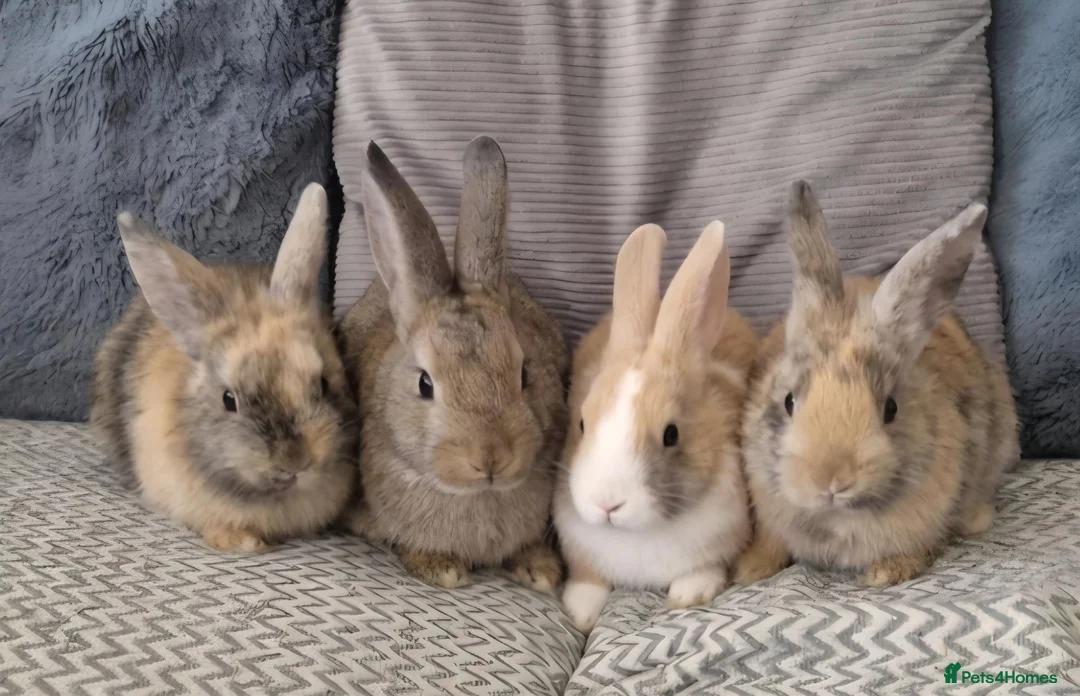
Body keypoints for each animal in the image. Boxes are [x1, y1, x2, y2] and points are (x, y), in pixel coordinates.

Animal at [553, 220, 759, 634]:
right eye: (582, 422)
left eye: (671, 434)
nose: (607, 503)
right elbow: (588, 579)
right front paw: (580, 612)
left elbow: (703, 571)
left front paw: (688, 595)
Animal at [734, 181, 1019, 588]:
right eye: (788, 401)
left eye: (891, 408)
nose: (832, 480)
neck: (836, 518)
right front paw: (750, 570)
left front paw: (887, 572)